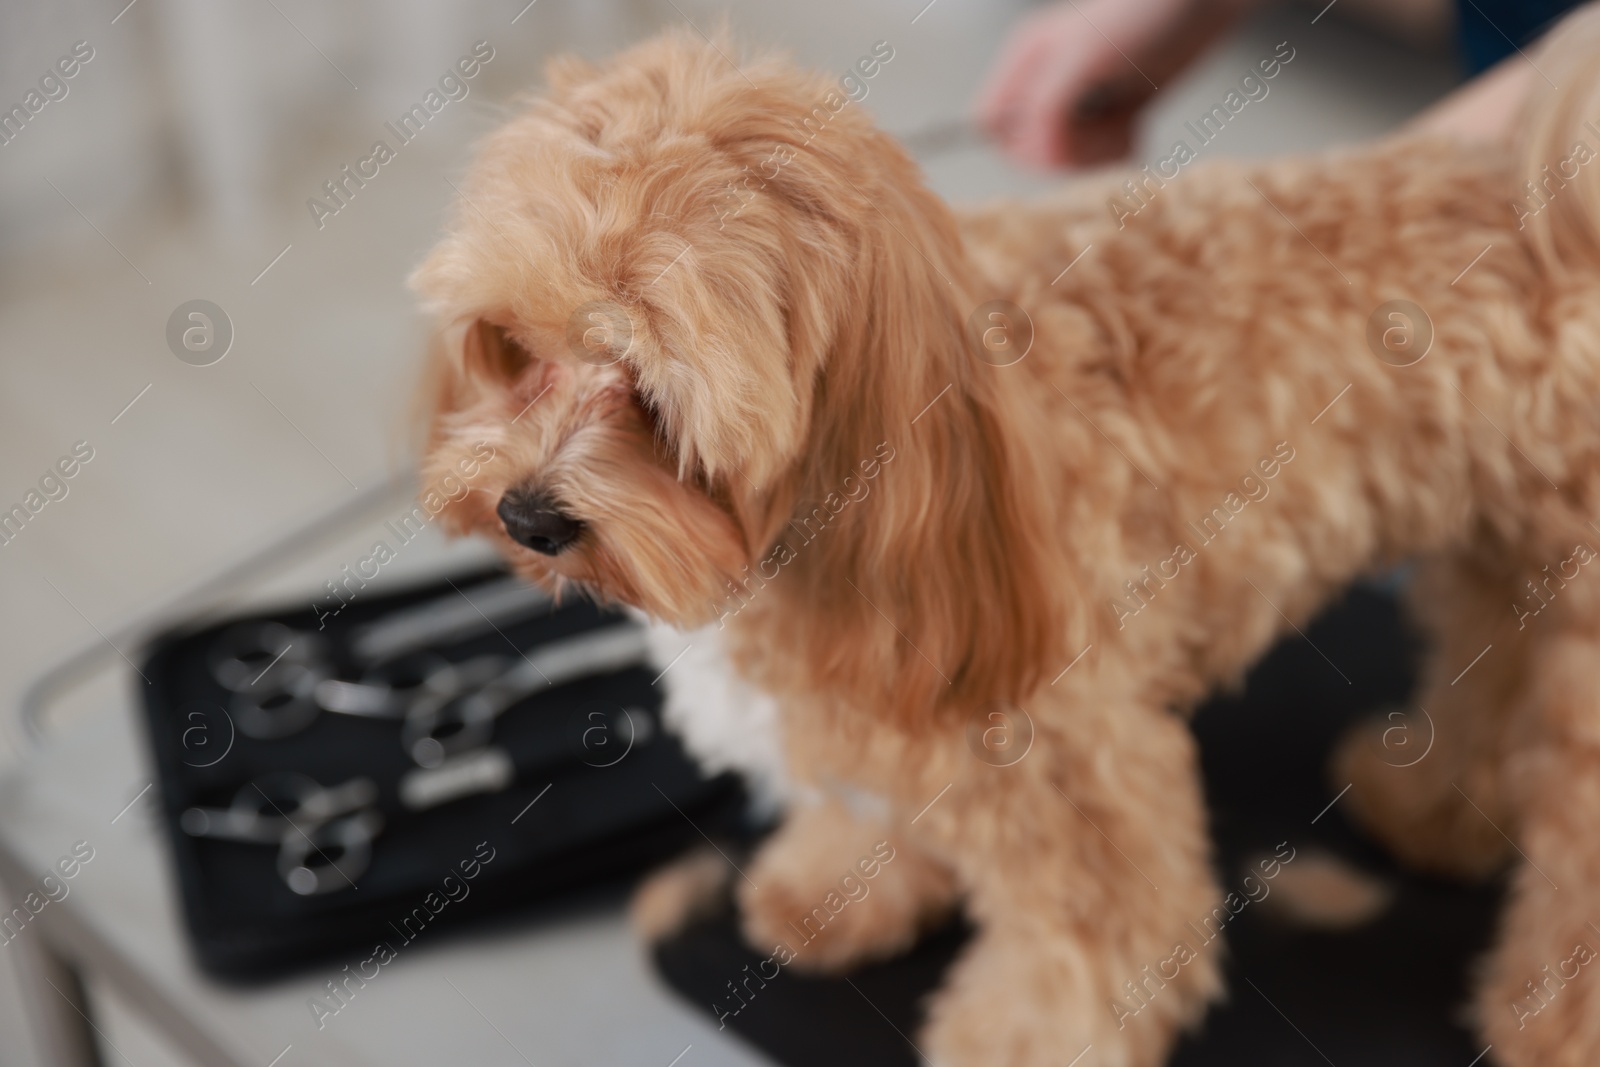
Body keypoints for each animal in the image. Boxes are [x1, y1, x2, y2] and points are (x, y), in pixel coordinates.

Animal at [412, 12, 1600, 1062]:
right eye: (514, 346)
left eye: (654, 396)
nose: (524, 515)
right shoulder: (880, 694)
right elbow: (869, 809)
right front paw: (837, 885)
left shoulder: (1070, 760)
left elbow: (1100, 947)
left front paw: (1010, 1038)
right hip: (1503, 555)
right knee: (1489, 679)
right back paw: (1433, 809)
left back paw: (1548, 1020)